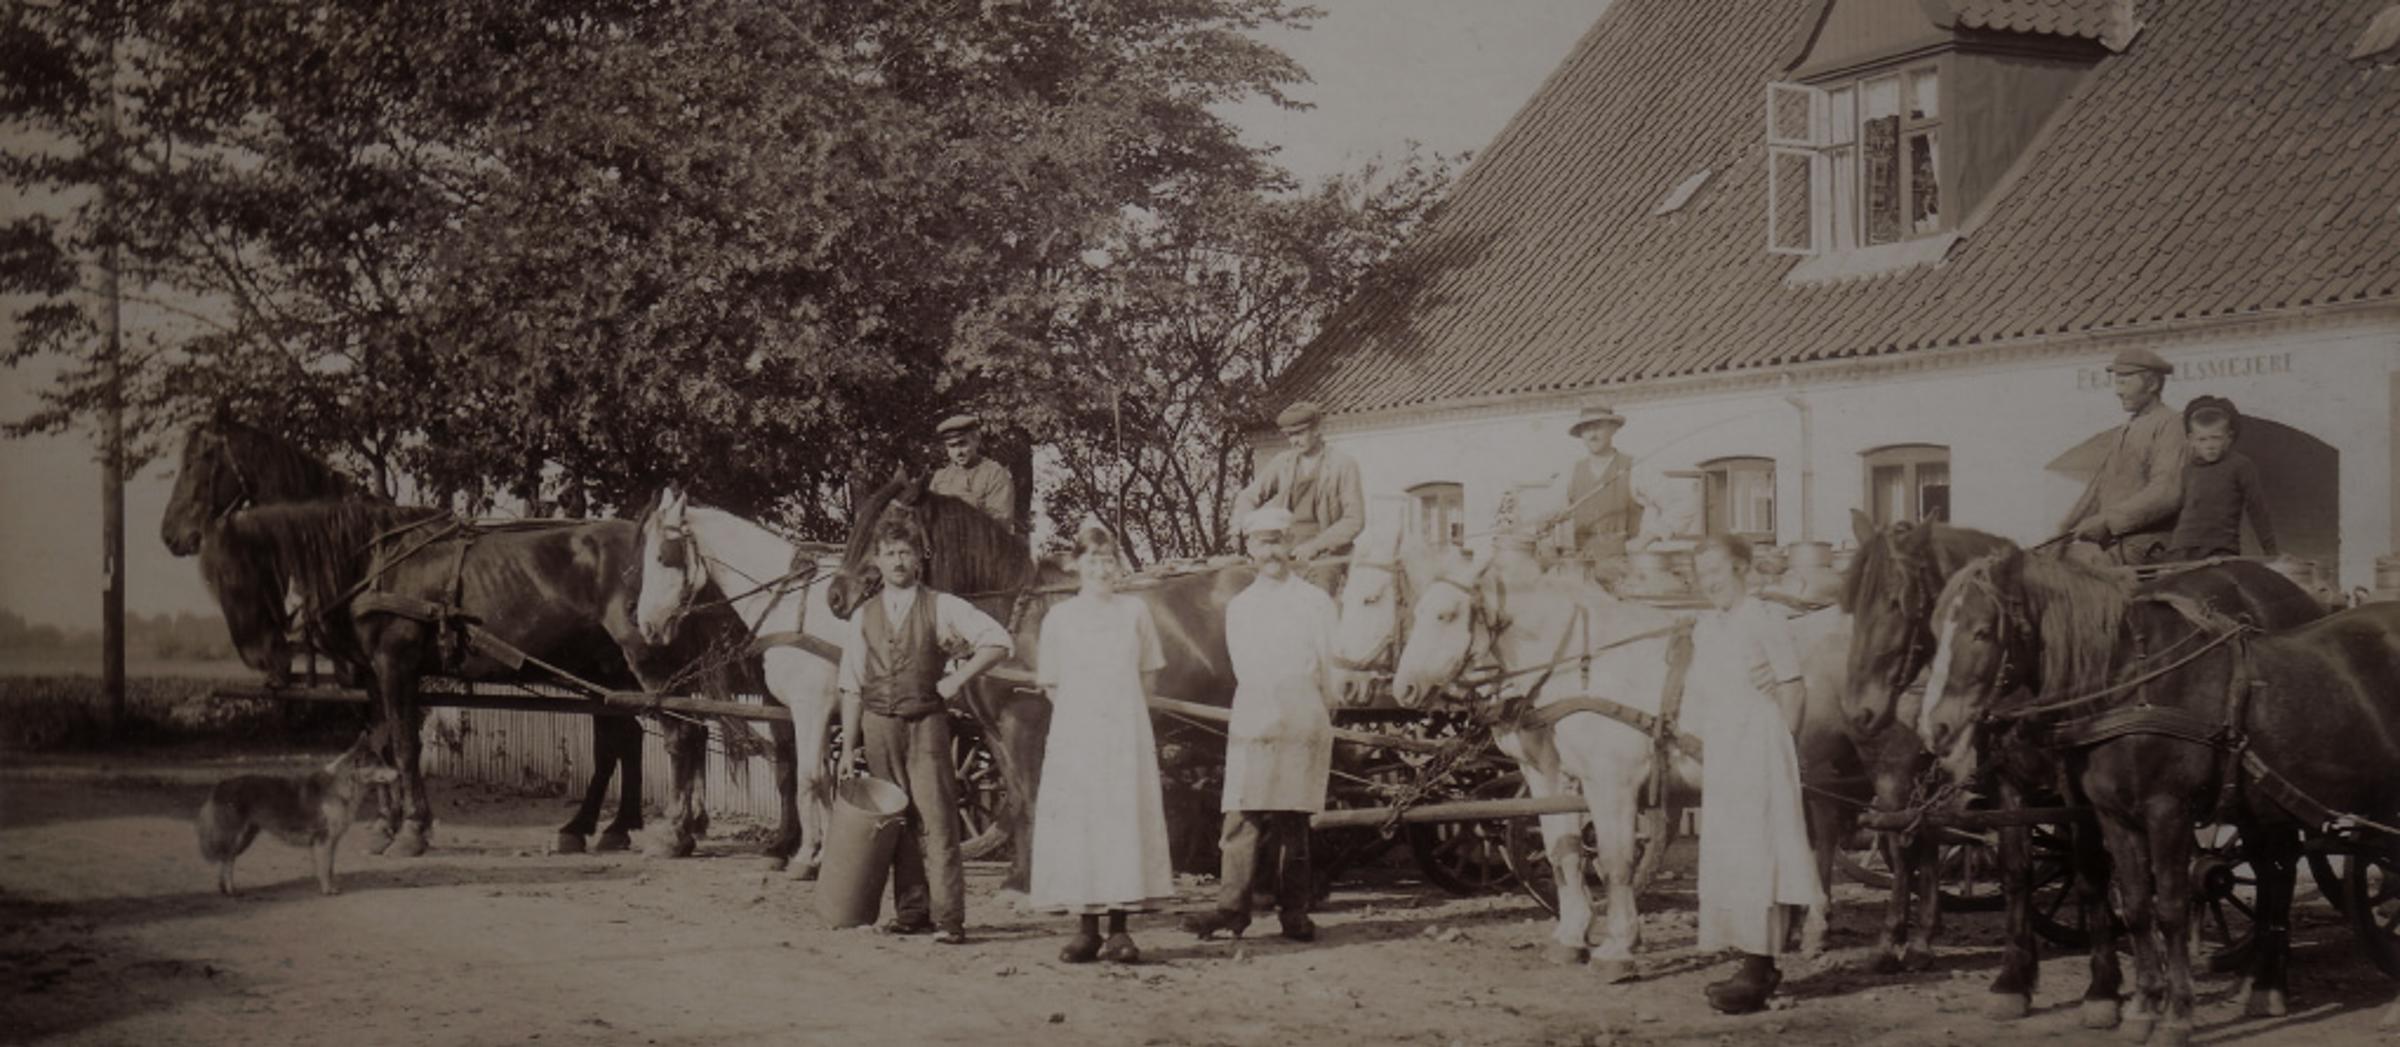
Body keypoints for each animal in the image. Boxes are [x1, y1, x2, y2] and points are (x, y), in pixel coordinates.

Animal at [195, 730, 398, 893]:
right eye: (379, 763)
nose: (399, 774)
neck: (344, 785)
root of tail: (220, 785)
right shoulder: (323, 840)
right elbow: (325, 868)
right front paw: (327, 890)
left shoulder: (332, 842)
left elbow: (330, 868)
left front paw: (332, 886)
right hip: (236, 836)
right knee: (228, 860)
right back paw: (231, 890)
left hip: (246, 836)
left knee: (225, 860)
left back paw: (225, 888)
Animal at [1382, 545, 1862, 984]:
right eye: (1417, 611)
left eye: (1445, 615)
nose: (1404, 688)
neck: (1587, 664)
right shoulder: (1552, 777)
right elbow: (1563, 852)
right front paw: (1571, 937)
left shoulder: (1612, 783)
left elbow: (1615, 862)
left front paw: (1617, 948)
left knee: (1826, 834)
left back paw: (1814, 921)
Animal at [1920, 552, 2390, 1042]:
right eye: (1933, 630)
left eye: (1982, 631)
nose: (1935, 726)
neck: (2131, 685)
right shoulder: (2067, 801)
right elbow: (2110, 898)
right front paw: (2123, 1005)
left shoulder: (2151, 809)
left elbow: (2147, 899)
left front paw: (2145, 1005)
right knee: (2275, 872)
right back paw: (2262, 984)